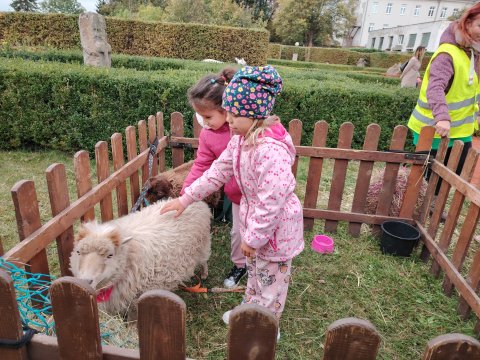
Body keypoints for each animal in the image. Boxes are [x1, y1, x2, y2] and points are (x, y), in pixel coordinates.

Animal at [68, 200, 211, 320]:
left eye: (110, 255)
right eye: (78, 252)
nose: (86, 281)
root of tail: (199, 203)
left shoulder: (137, 300)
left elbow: (133, 319)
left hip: (203, 245)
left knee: (204, 261)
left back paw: (204, 274)